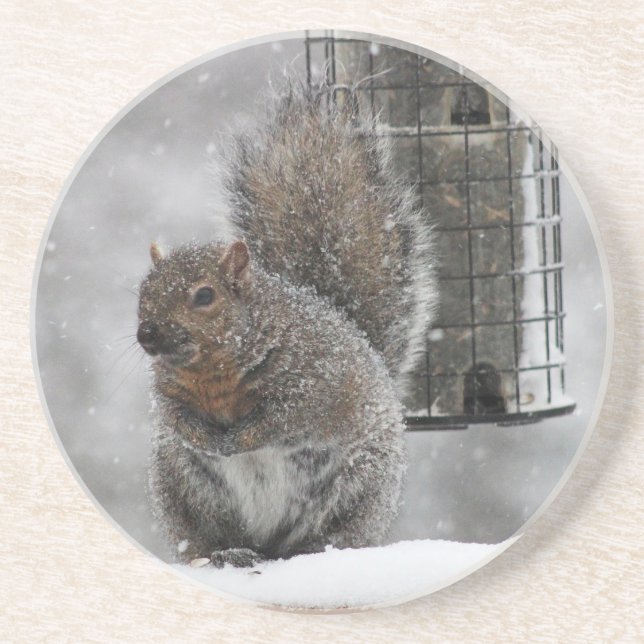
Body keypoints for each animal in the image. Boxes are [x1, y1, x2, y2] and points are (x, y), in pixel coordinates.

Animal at [137, 78, 436, 568]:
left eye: (205, 295)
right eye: (142, 290)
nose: (147, 335)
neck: (213, 368)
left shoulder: (312, 383)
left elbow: (280, 421)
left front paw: (236, 440)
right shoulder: (169, 392)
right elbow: (176, 418)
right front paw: (206, 438)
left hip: (358, 487)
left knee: (325, 533)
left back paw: (314, 549)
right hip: (186, 493)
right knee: (209, 538)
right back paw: (226, 553)